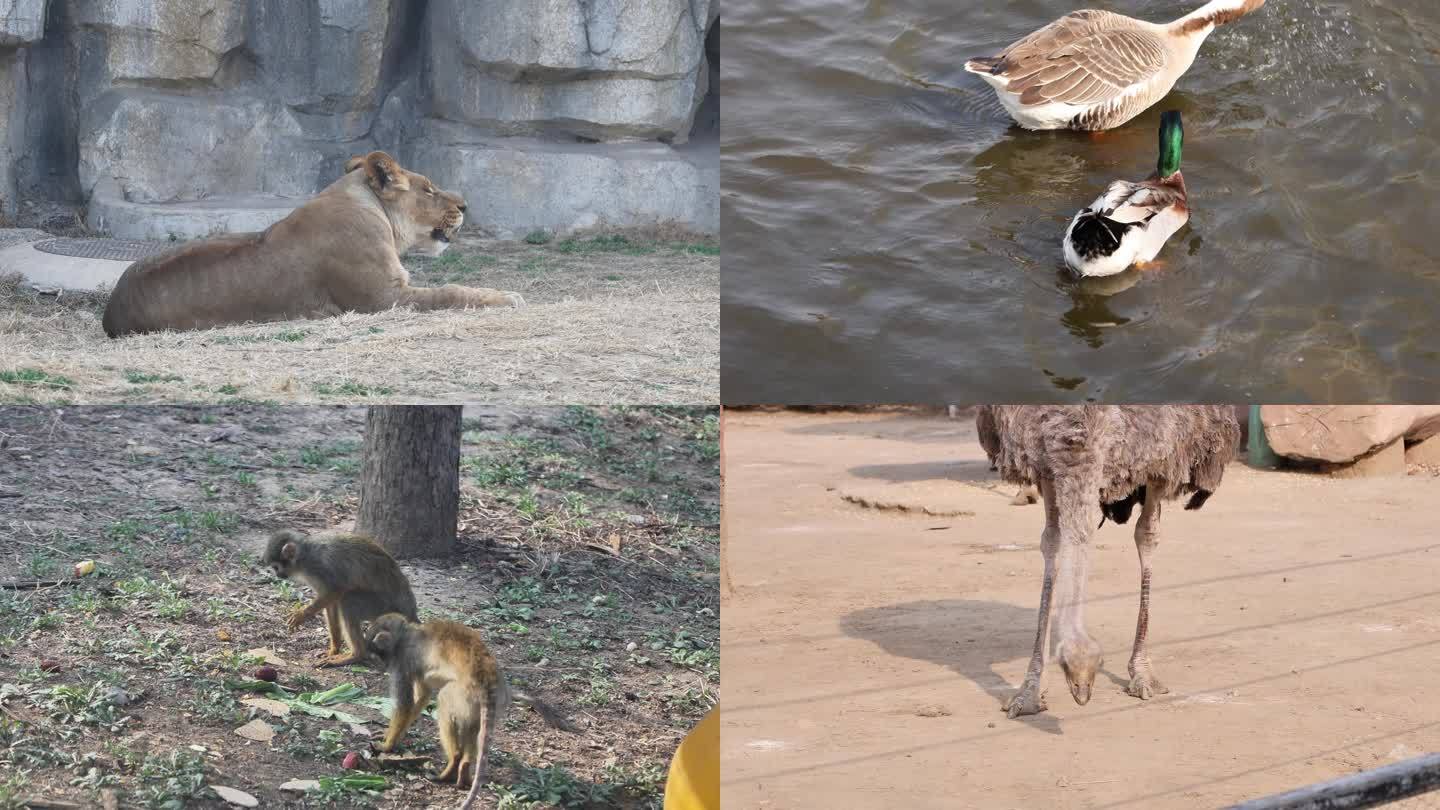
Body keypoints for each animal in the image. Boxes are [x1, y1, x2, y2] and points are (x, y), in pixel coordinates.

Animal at [263, 530, 417, 662]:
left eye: (276, 567)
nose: (278, 575)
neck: (303, 556)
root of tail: (411, 610)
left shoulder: (318, 565)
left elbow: (336, 590)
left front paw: (301, 615)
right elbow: (331, 601)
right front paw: (334, 649)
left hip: (383, 607)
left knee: (348, 599)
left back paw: (357, 655)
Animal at [362, 611, 576, 801]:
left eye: (377, 654)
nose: (380, 664)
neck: (405, 633)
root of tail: (488, 681)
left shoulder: (401, 661)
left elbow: (406, 704)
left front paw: (386, 745)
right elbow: (422, 696)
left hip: (463, 694)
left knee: (444, 699)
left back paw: (454, 762)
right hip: (492, 703)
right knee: (474, 725)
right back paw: (464, 767)